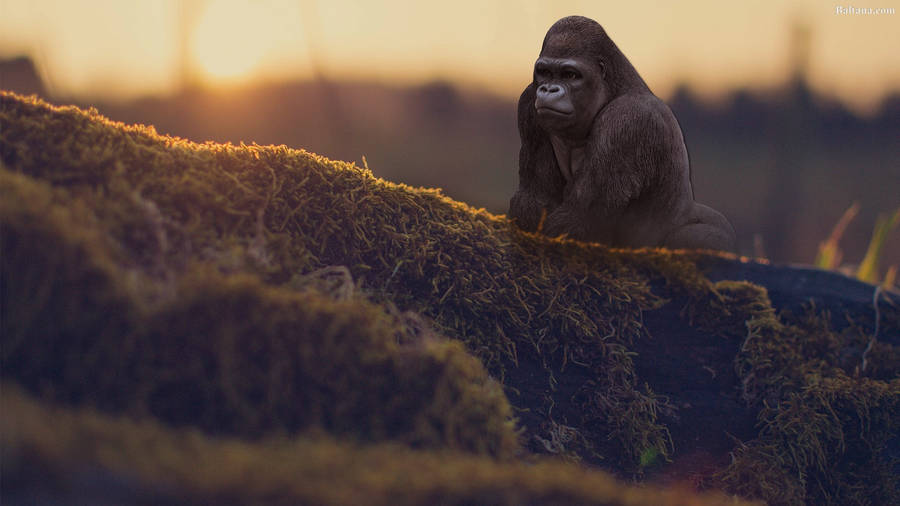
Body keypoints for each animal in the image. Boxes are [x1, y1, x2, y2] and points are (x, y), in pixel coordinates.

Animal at [508, 16, 736, 252]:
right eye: (544, 72)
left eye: (570, 75)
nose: (548, 89)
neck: (611, 88)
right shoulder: (528, 102)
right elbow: (534, 199)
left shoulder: (626, 119)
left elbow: (579, 218)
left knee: (697, 237)